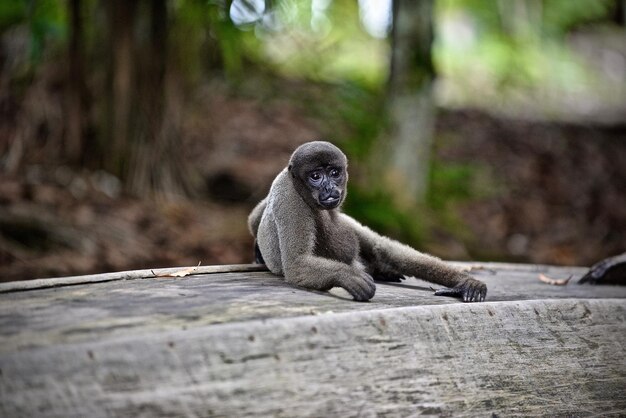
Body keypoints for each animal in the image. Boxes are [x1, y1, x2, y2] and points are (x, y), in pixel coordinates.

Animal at [246, 142, 486, 302]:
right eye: (315, 176)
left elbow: (384, 247)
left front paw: (466, 282)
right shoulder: (290, 200)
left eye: (334, 173)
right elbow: (297, 263)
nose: (329, 188)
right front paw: (349, 277)